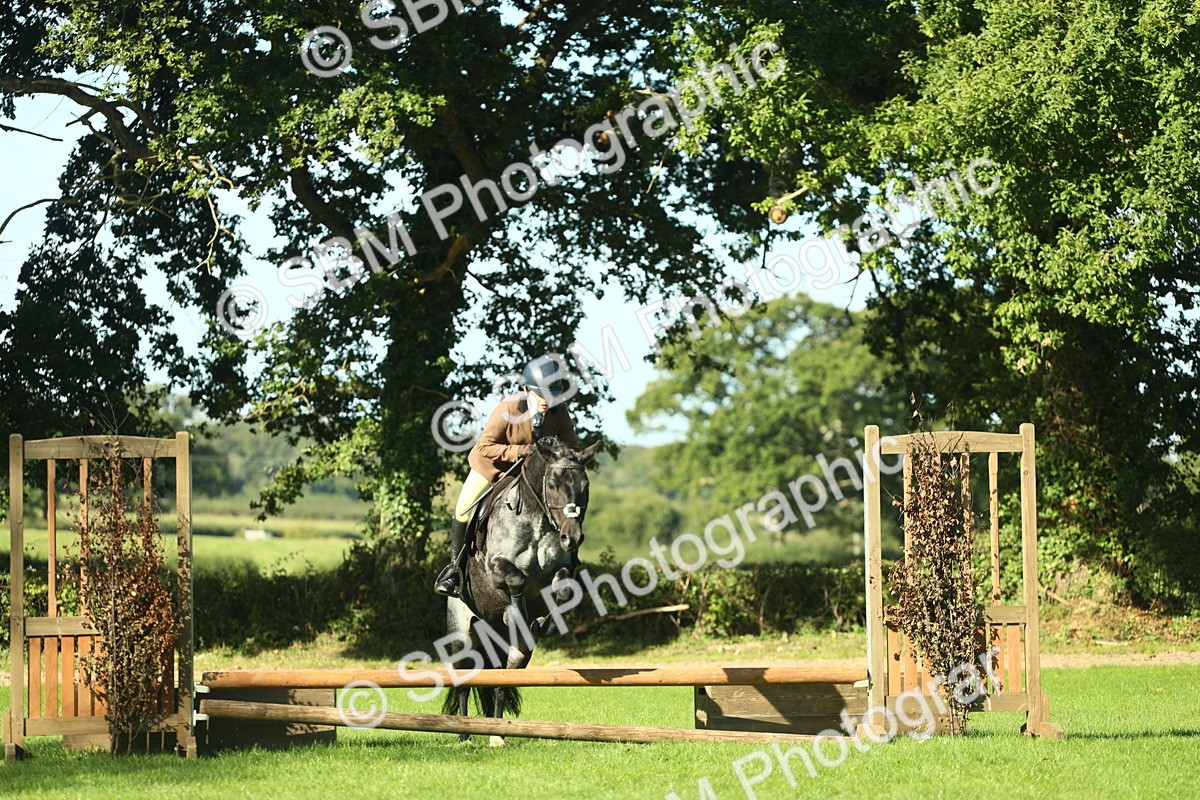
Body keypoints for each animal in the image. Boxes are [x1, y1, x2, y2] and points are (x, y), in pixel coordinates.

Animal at [443, 435, 599, 745]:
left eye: (585, 486)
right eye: (553, 485)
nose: (572, 537)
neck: (536, 518)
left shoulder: (559, 569)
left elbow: (563, 590)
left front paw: (540, 624)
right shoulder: (496, 566)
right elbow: (514, 579)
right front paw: (517, 614)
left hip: (512, 653)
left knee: (502, 682)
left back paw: (496, 735)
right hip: (460, 635)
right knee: (463, 683)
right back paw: (463, 734)